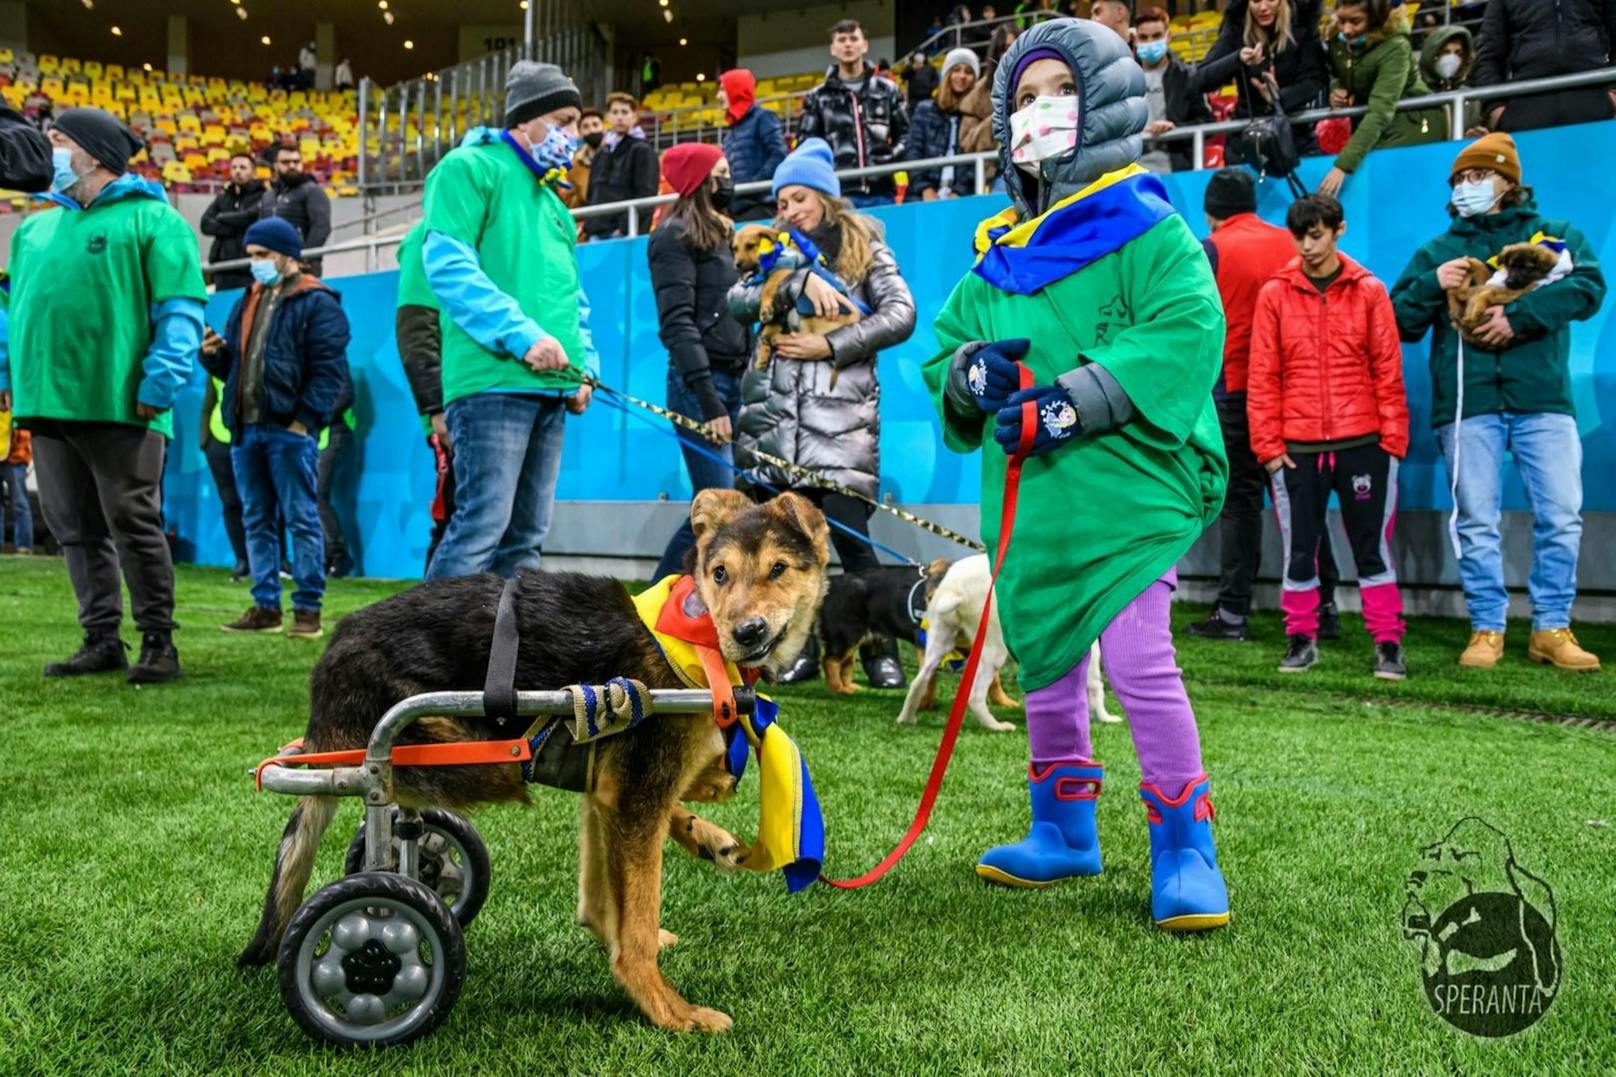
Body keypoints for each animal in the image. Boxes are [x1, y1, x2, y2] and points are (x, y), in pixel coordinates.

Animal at [820, 556, 943, 692]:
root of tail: (831, 582)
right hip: (846, 635)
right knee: (830, 661)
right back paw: (837, 689)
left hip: (854, 637)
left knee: (847, 663)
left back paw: (849, 688)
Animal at [898, 553, 1111, 730]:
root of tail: (954, 587)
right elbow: (1095, 683)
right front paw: (1104, 717)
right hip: (994, 649)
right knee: (975, 695)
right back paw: (997, 726)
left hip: (939, 641)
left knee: (918, 682)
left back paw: (906, 718)